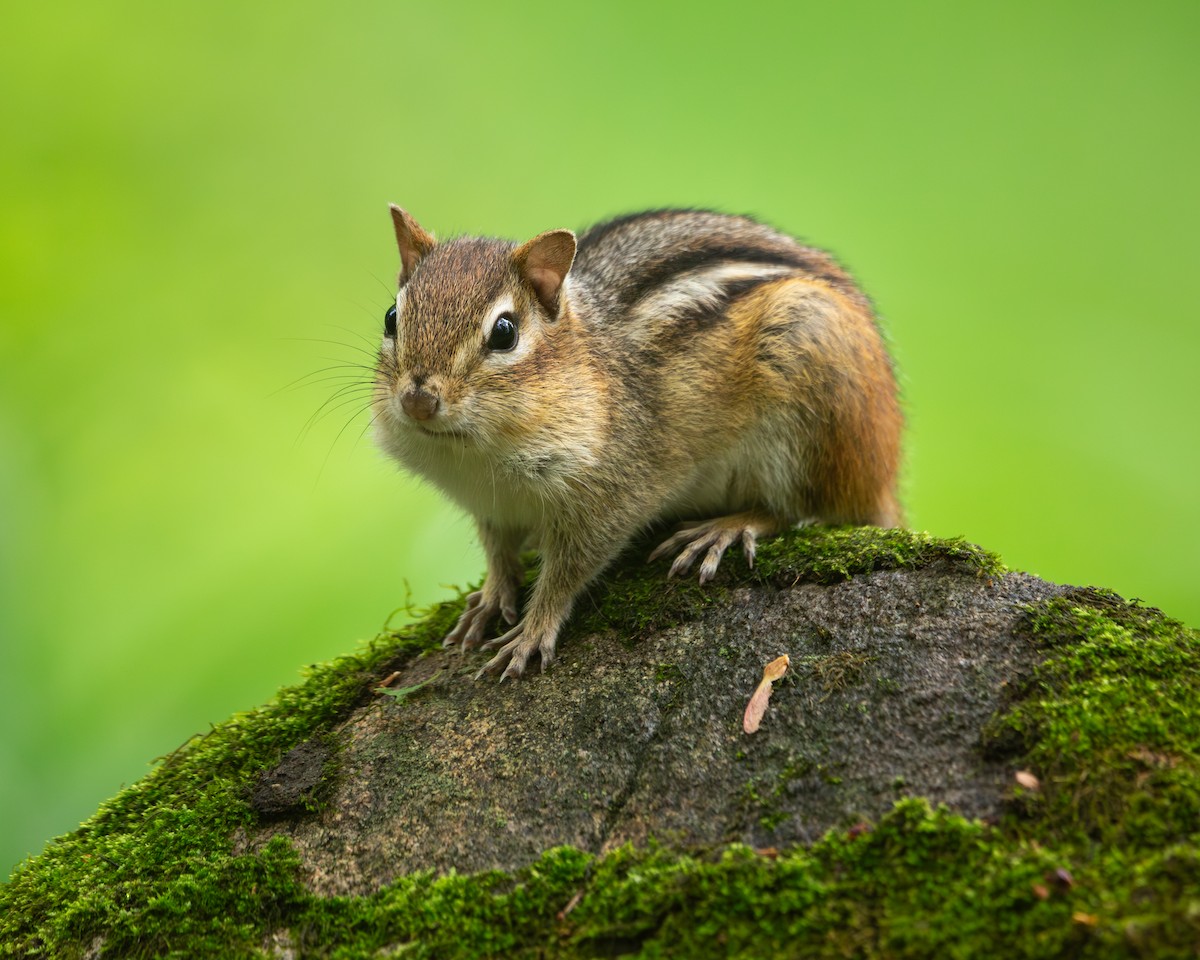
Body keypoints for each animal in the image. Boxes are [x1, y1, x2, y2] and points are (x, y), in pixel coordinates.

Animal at [373, 207, 902, 680]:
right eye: (391, 317)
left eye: (504, 333)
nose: (418, 400)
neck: (479, 455)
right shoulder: (493, 506)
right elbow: (498, 554)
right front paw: (489, 598)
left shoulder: (615, 492)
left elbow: (569, 570)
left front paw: (533, 631)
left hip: (809, 392)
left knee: (802, 509)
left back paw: (726, 528)